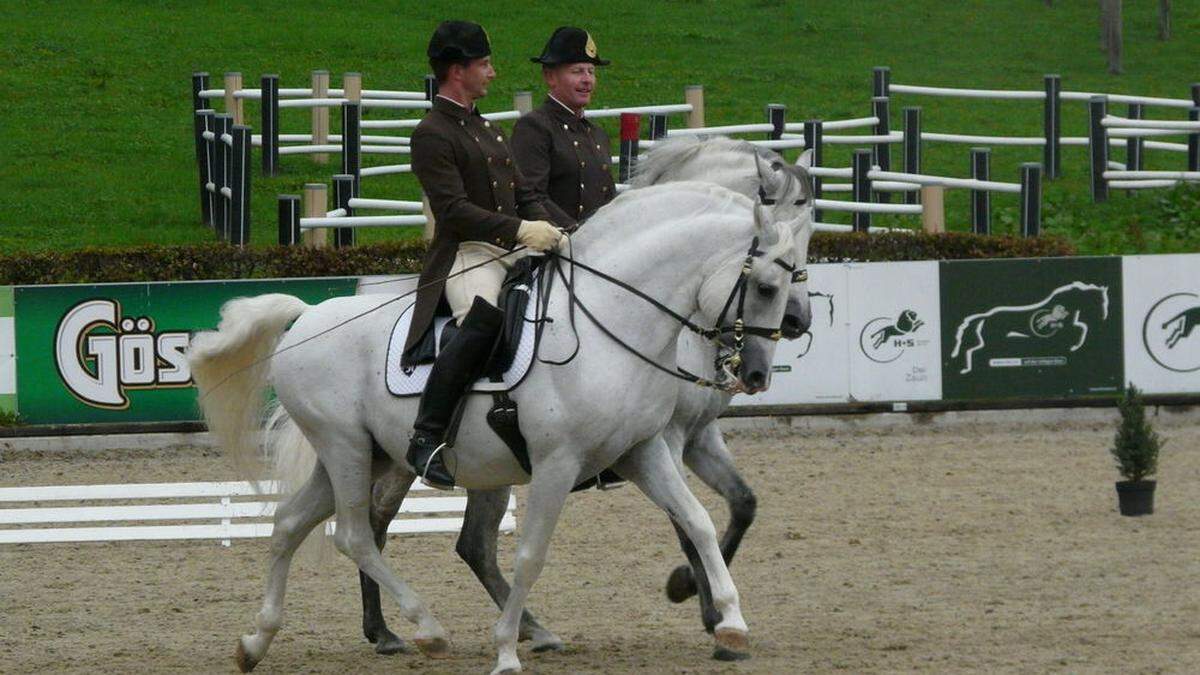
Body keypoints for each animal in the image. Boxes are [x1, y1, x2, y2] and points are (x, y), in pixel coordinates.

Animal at [189, 180, 796, 672]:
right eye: (767, 288)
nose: (758, 373)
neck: (610, 322)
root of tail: (305, 315)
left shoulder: (642, 451)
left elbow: (697, 521)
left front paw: (732, 625)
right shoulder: (558, 464)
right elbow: (530, 556)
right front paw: (505, 651)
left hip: (366, 454)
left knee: (290, 524)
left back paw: (255, 642)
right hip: (346, 450)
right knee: (356, 535)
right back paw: (426, 629)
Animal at [348, 136, 816, 653]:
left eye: (811, 229)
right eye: (767, 286)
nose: (797, 321)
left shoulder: (695, 436)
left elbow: (739, 505)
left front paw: (703, 598)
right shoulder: (670, 439)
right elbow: (685, 525)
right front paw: (700, 600)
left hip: (473, 464)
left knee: (465, 542)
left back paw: (518, 628)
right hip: (413, 455)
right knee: (379, 524)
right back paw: (385, 630)